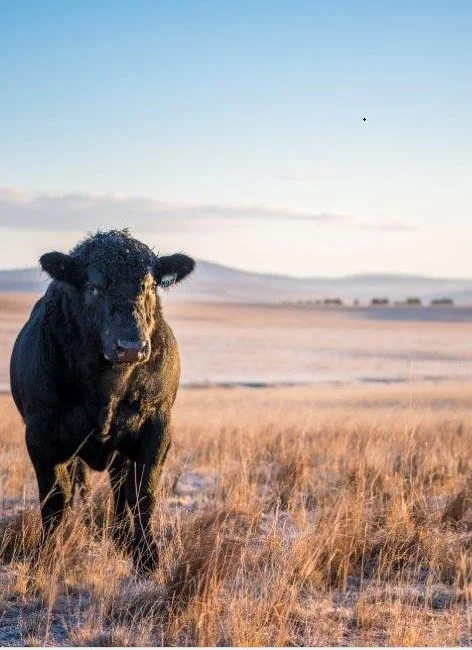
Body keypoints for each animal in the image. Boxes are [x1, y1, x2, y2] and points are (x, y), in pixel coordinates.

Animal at [10, 229, 195, 572]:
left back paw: (121, 537)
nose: (131, 345)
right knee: (78, 485)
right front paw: (46, 555)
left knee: (120, 487)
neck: (106, 389)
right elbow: (54, 498)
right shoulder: (41, 436)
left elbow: (143, 493)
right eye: (93, 287)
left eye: (150, 285)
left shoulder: (157, 427)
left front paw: (147, 557)